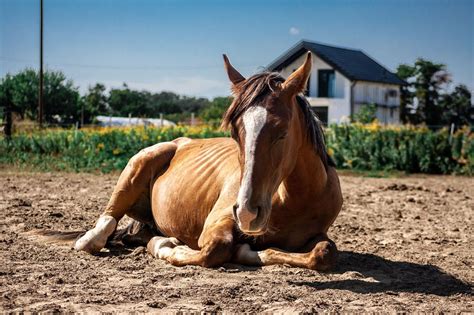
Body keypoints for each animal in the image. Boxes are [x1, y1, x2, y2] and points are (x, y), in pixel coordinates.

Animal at [73, 51, 340, 272]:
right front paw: (169, 246)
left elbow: (324, 252)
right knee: (104, 225)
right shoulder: (216, 224)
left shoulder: (317, 235)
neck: (297, 198)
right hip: (141, 163)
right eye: (235, 133)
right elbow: (215, 249)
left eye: (282, 133)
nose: (247, 213)